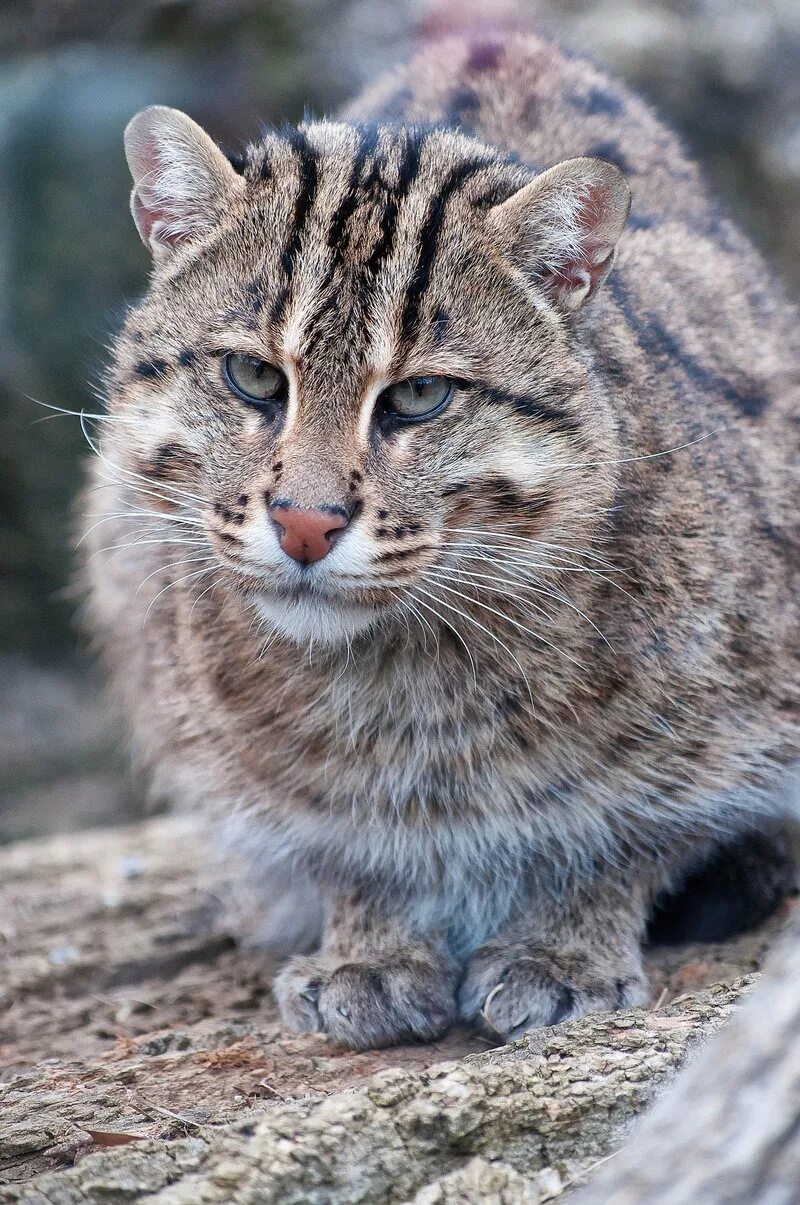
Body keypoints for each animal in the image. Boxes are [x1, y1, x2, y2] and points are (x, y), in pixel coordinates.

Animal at [82, 28, 800, 1045]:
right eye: (253, 376)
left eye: (421, 394)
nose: (305, 522)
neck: (401, 674)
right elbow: (341, 842)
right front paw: (370, 948)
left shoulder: (728, 726)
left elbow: (628, 830)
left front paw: (562, 946)